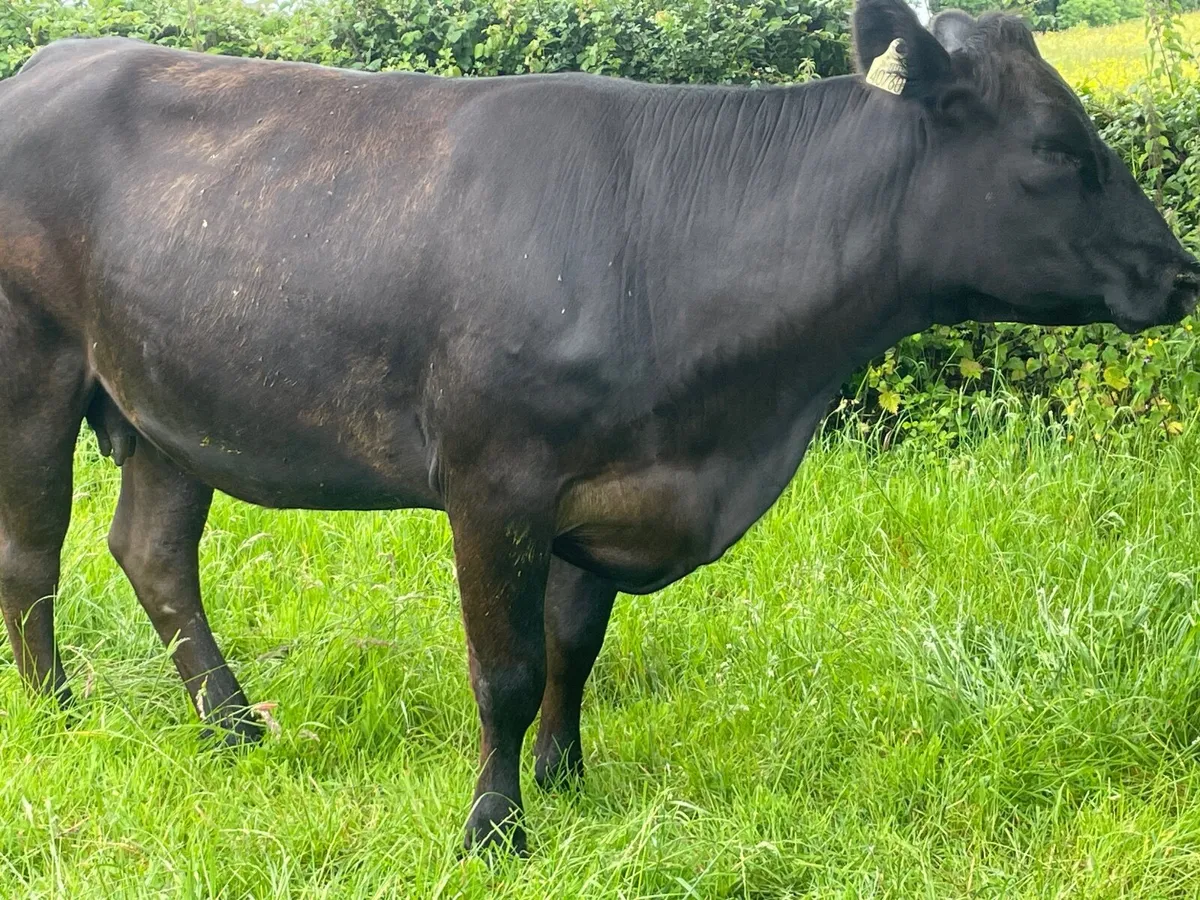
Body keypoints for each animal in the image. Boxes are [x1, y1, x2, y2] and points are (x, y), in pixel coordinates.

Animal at [0, 0, 1196, 854]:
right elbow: (506, 667)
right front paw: (493, 832)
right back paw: (59, 715)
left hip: (169, 403)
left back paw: (237, 727)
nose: (1181, 272)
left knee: (152, 552)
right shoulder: (496, 480)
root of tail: (54, 59)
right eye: (1057, 148)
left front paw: (566, 780)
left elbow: (574, 648)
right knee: (34, 554)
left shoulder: (610, 481)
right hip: (36, 365)